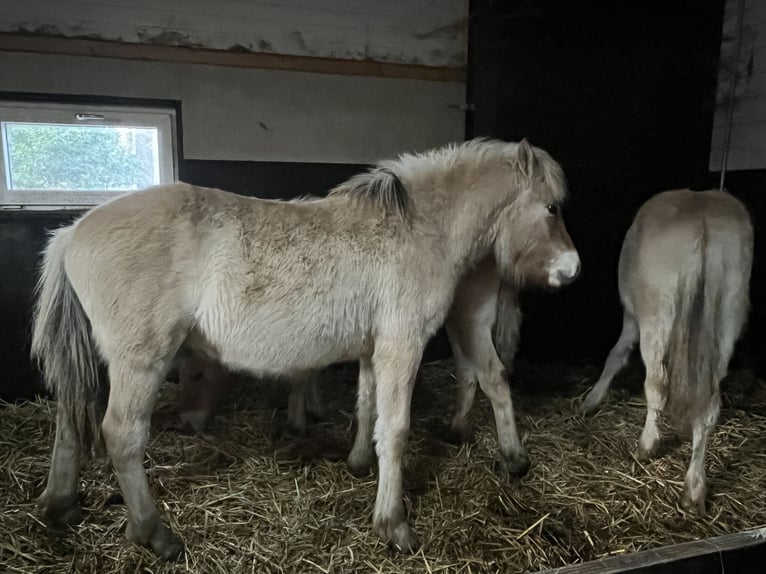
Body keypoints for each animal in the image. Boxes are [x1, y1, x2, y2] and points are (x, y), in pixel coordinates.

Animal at [31, 138, 579, 559]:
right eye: (552, 207)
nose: (571, 269)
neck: (419, 228)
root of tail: (72, 233)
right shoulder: (401, 345)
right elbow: (395, 429)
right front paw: (393, 524)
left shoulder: (373, 349)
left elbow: (367, 407)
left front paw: (358, 465)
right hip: (140, 361)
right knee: (122, 435)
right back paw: (153, 533)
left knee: (70, 421)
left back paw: (61, 504)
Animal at [580, 189, 752, 512]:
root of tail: (701, 215)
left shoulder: (632, 318)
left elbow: (616, 355)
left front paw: (591, 399)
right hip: (727, 320)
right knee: (709, 404)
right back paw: (694, 488)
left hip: (655, 318)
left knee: (657, 386)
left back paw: (646, 446)